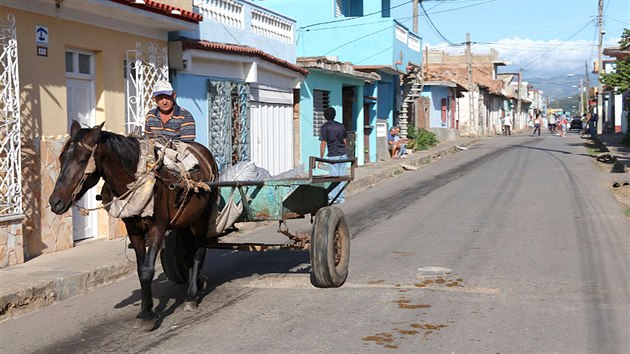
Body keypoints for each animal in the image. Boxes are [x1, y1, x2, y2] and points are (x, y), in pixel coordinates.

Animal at [48, 120, 220, 328]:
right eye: (61, 158)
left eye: (82, 160)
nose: (55, 202)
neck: (138, 178)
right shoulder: (134, 231)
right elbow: (140, 270)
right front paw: (145, 310)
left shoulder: (158, 228)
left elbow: (147, 270)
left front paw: (147, 316)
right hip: (187, 219)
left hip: (201, 218)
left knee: (198, 251)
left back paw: (191, 296)